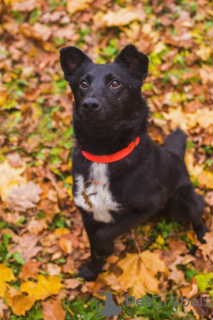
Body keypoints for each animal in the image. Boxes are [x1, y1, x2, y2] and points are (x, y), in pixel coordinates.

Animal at [59, 44, 208, 280]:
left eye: (115, 83)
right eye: (83, 83)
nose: (89, 104)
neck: (103, 154)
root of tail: (176, 155)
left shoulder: (147, 207)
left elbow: (104, 234)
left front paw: (107, 249)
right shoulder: (87, 214)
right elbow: (93, 244)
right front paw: (93, 269)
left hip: (184, 199)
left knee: (198, 214)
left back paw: (203, 238)